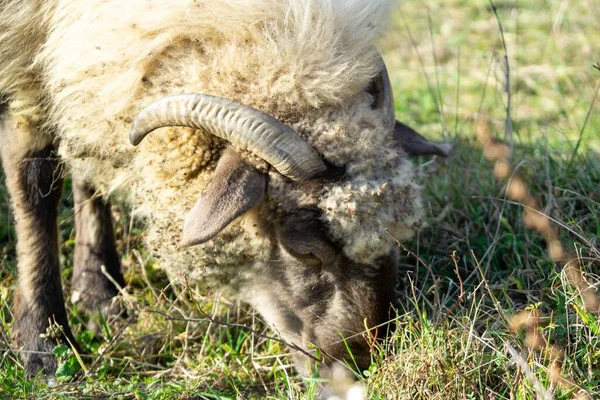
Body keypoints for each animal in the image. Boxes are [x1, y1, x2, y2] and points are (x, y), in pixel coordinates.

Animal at [0, 0, 450, 378]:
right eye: (303, 250)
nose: (357, 364)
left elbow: (86, 165)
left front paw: (98, 292)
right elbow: (34, 183)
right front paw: (43, 345)